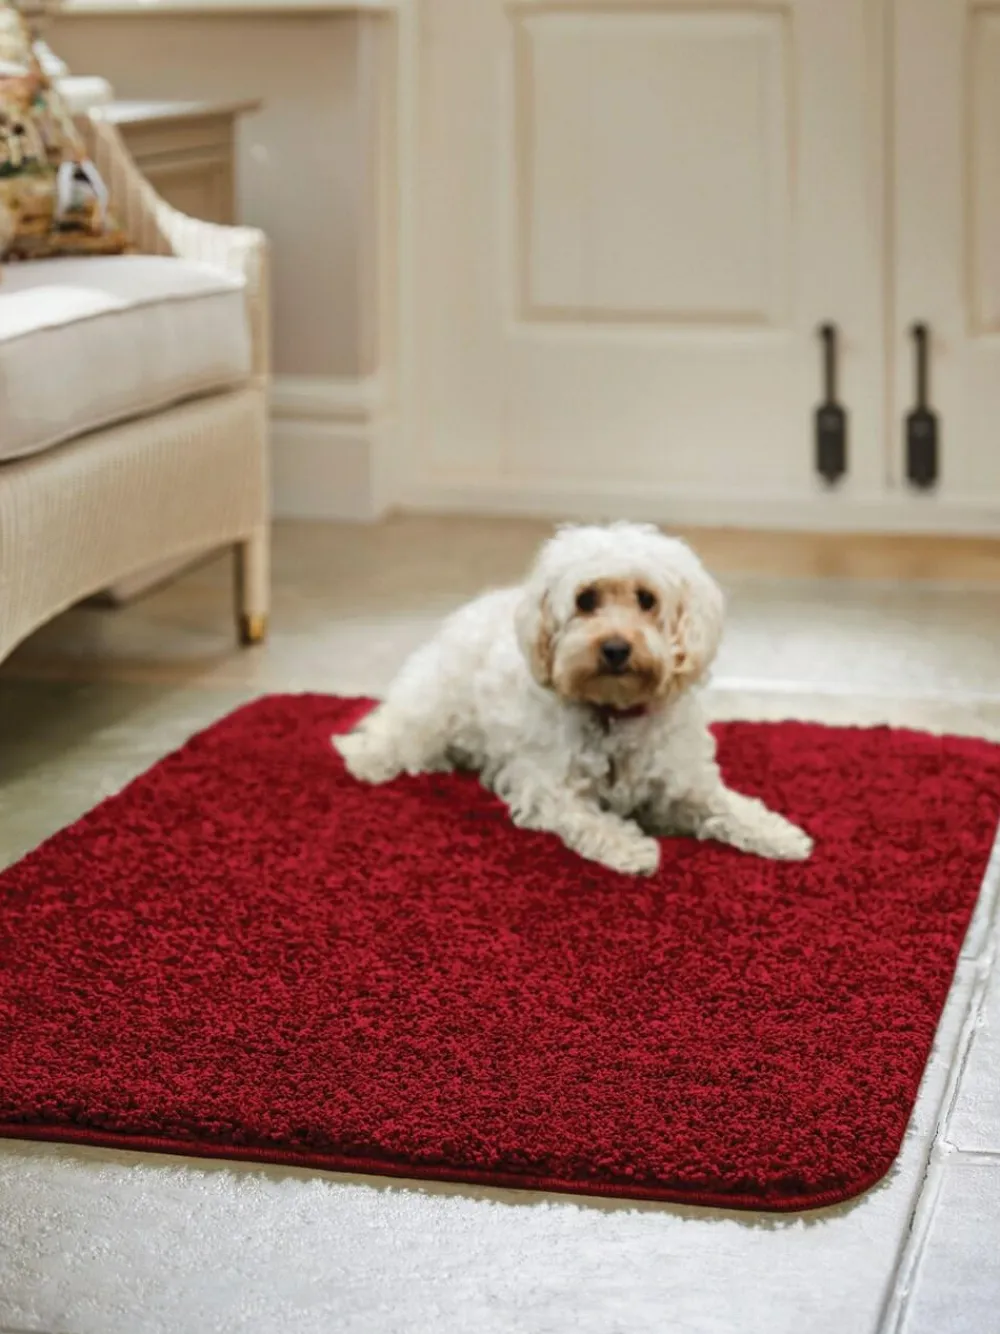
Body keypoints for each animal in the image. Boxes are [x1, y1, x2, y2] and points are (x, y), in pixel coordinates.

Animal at [333, 522, 812, 876]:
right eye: (586, 599)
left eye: (647, 599)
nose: (616, 648)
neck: (615, 713)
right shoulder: (547, 786)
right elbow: (589, 819)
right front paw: (630, 848)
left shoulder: (681, 784)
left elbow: (729, 806)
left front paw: (781, 835)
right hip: (433, 710)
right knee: (388, 731)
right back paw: (370, 760)